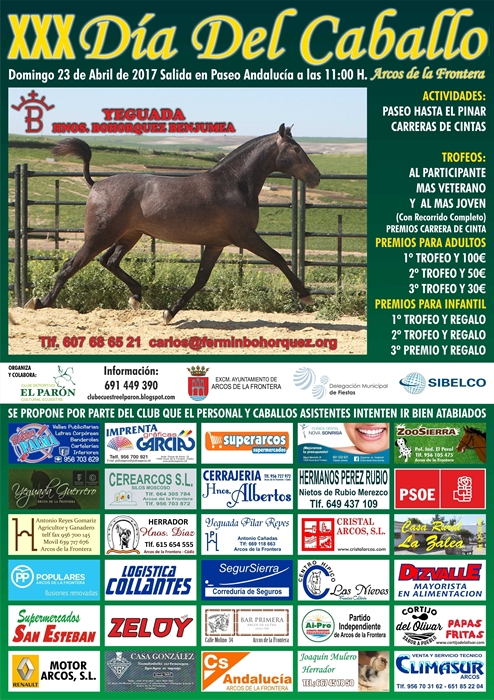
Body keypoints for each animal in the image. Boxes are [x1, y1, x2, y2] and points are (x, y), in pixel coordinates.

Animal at [25, 125, 321, 324]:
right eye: (296, 149)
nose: (316, 177)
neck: (233, 185)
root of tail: (96, 185)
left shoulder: (216, 244)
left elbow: (201, 280)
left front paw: (169, 312)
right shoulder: (245, 236)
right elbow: (278, 258)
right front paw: (306, 296)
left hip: (130, 235)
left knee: (109, 261)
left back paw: (136, 297)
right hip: (99, 237)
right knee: (71, 265)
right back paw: (39, 302)